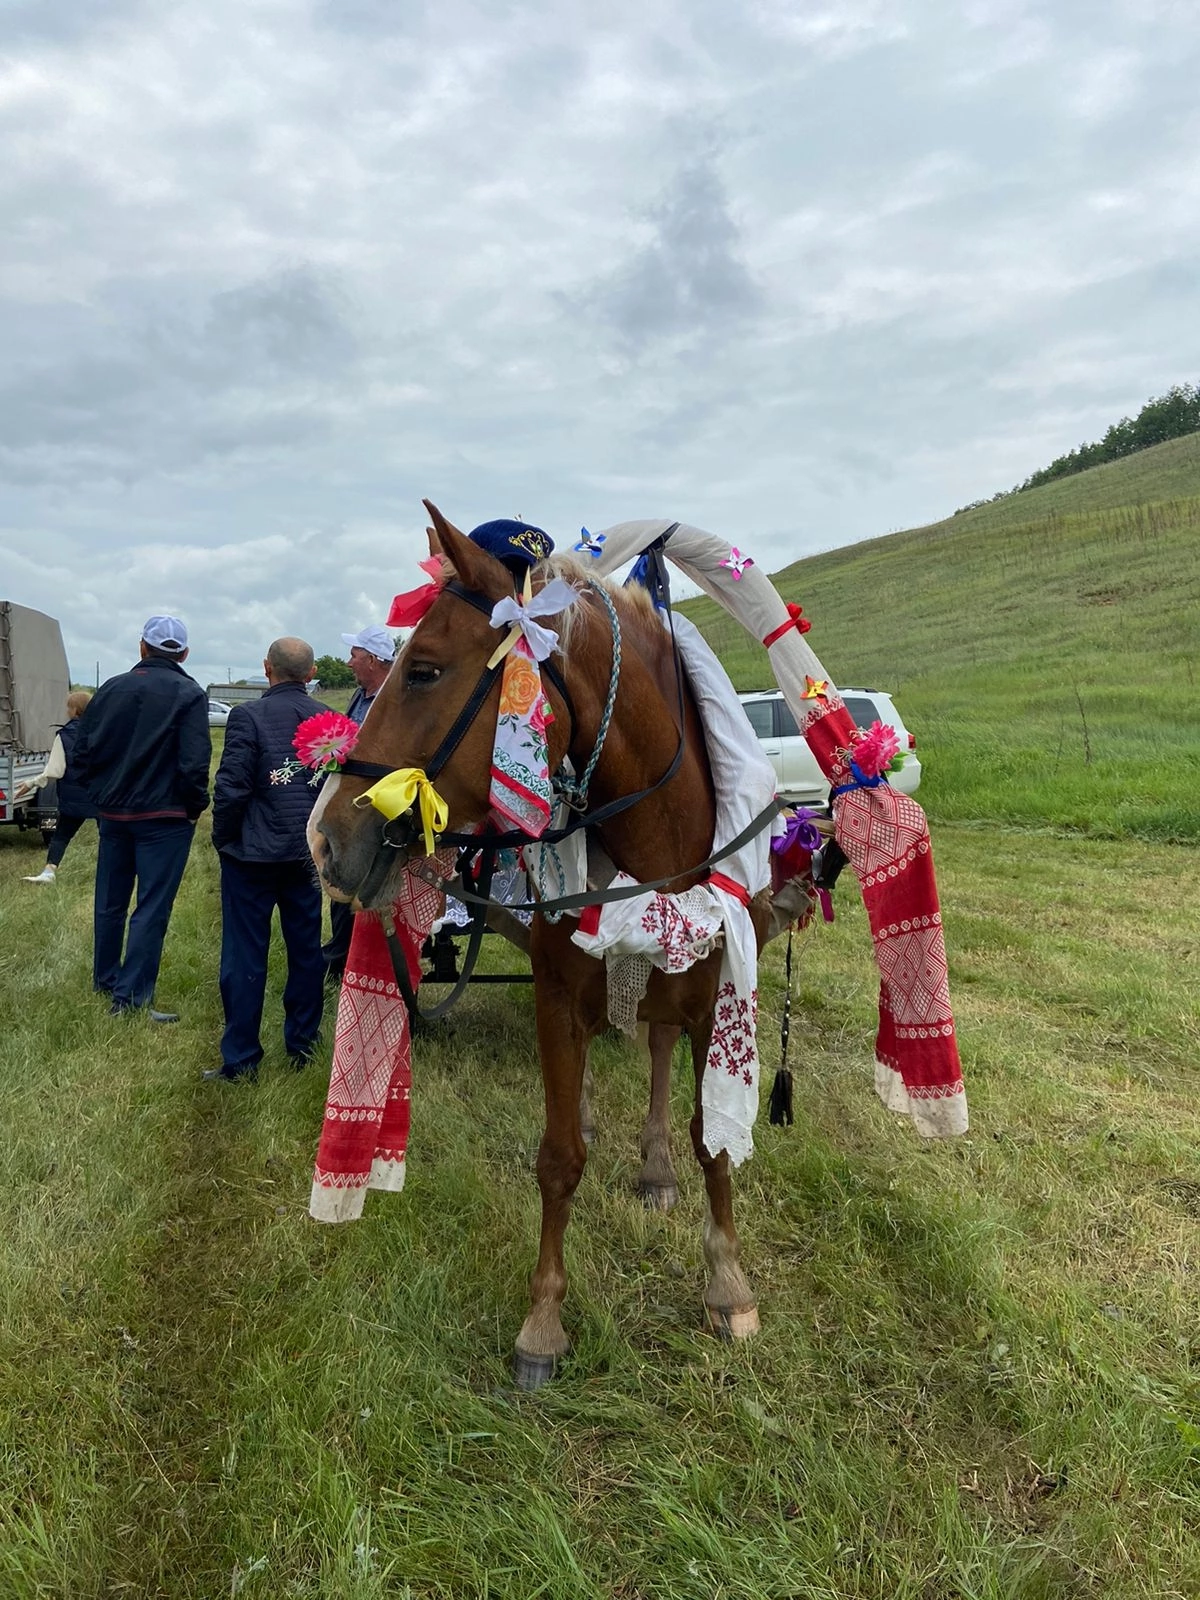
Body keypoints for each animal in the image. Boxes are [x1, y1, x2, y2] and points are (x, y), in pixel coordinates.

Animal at [310, 502, 774, 1388]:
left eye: (423, 670)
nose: (325, 837)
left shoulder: (713, 995)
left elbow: (713, 1142)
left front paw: (728, 1282)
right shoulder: (558, 997)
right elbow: (559, 1157)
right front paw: (544, 1322)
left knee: (655, 1047)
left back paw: (654, 1165)